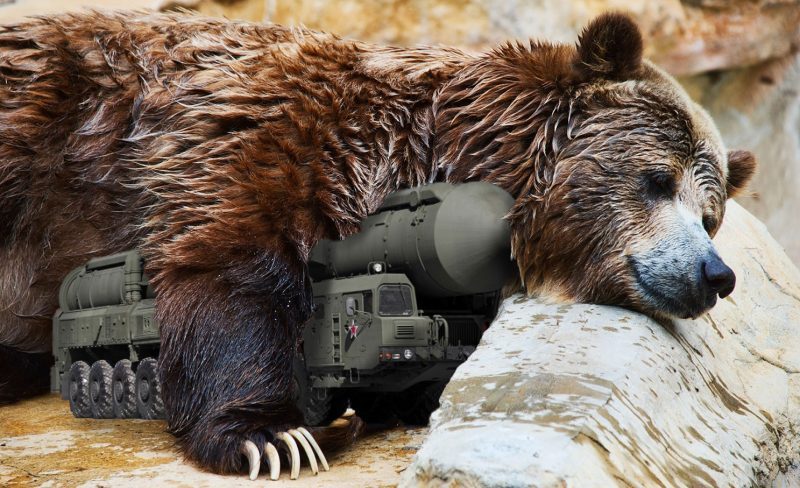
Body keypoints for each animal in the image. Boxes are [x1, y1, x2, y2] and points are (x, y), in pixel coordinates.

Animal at [0, 9, 755, 479]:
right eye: (656, 180)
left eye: (710, 213)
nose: (712, 273)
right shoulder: (268, 146)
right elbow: (230, 274)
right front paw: (272, 437)